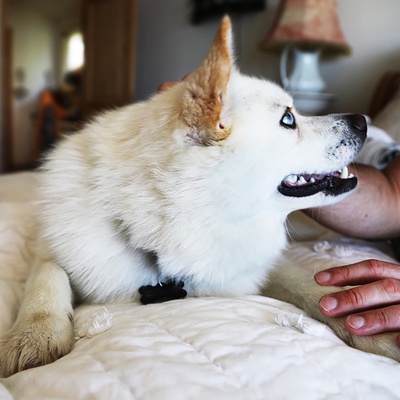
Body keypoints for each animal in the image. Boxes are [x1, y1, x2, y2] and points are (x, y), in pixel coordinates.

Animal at [0, 17, 394, 376]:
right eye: (288, 119)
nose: (362, 121)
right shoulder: (50, 248)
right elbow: (46, 277)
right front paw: (34, 333)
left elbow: (314, 287)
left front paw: (363, 322)